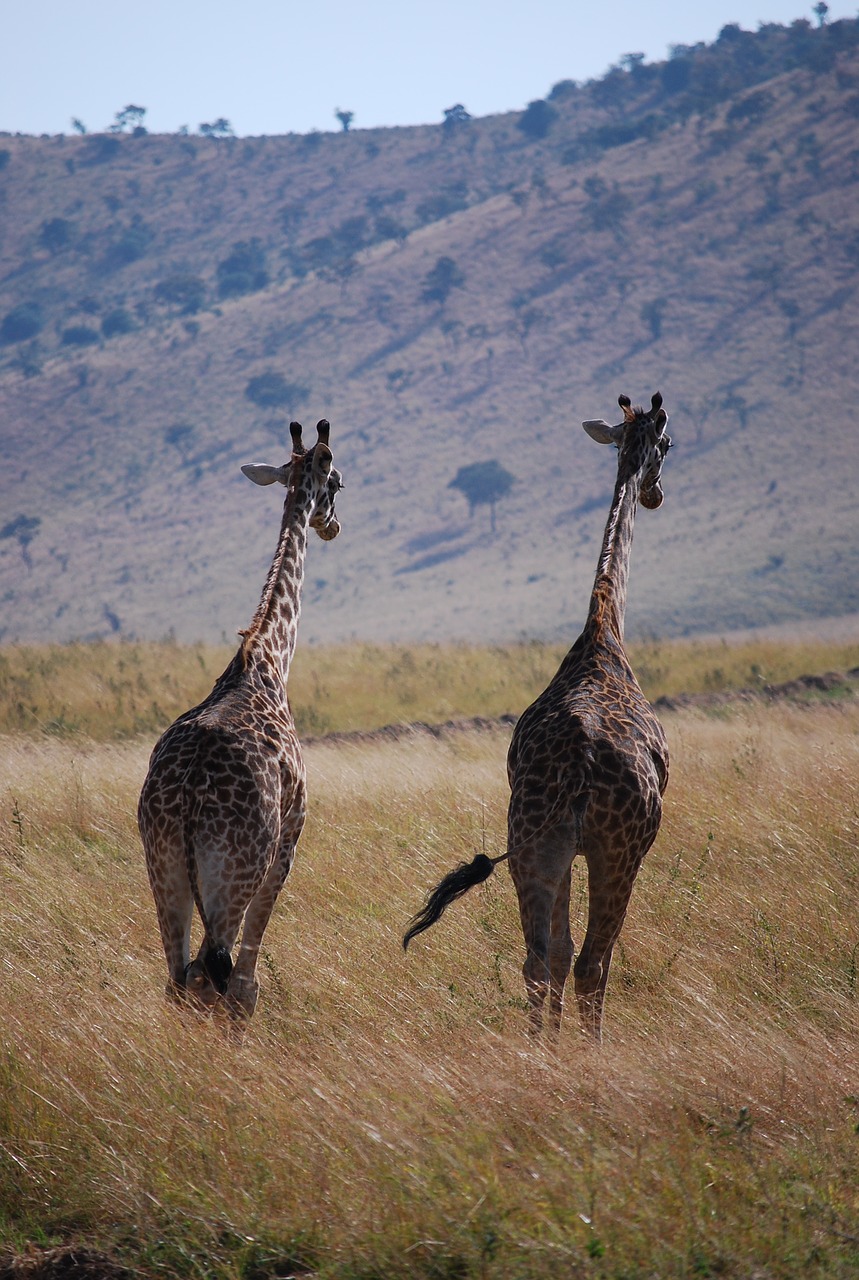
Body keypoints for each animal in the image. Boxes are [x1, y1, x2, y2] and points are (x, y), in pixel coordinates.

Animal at [137, 419, 343, 1018]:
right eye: (337, 483)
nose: (333, 526)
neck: (266, 658)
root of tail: (185, 798)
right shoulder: (290, 840)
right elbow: (248, 979)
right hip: (234, 871)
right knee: (218, 977)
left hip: (162, 869)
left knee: (178, 978)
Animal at [407, 394, 675, 1044]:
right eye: (669, 443)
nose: (656, 493)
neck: (605, 628)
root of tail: (580, 765)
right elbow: (581, 956)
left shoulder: (559, 848)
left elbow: (554, 950)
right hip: (616, 851)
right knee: (592, 962)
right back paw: (590, 1057)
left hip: (531, 844)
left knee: (537, 958)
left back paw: (538, 1052)